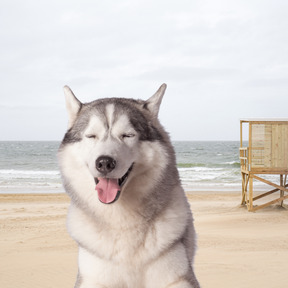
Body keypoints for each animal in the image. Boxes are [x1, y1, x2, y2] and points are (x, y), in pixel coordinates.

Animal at [57, 84, 199, 288]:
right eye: (91, 136)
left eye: (127, 135)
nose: (104, 163)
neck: (120, 219)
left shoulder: (179, 278)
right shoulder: (91, 278)